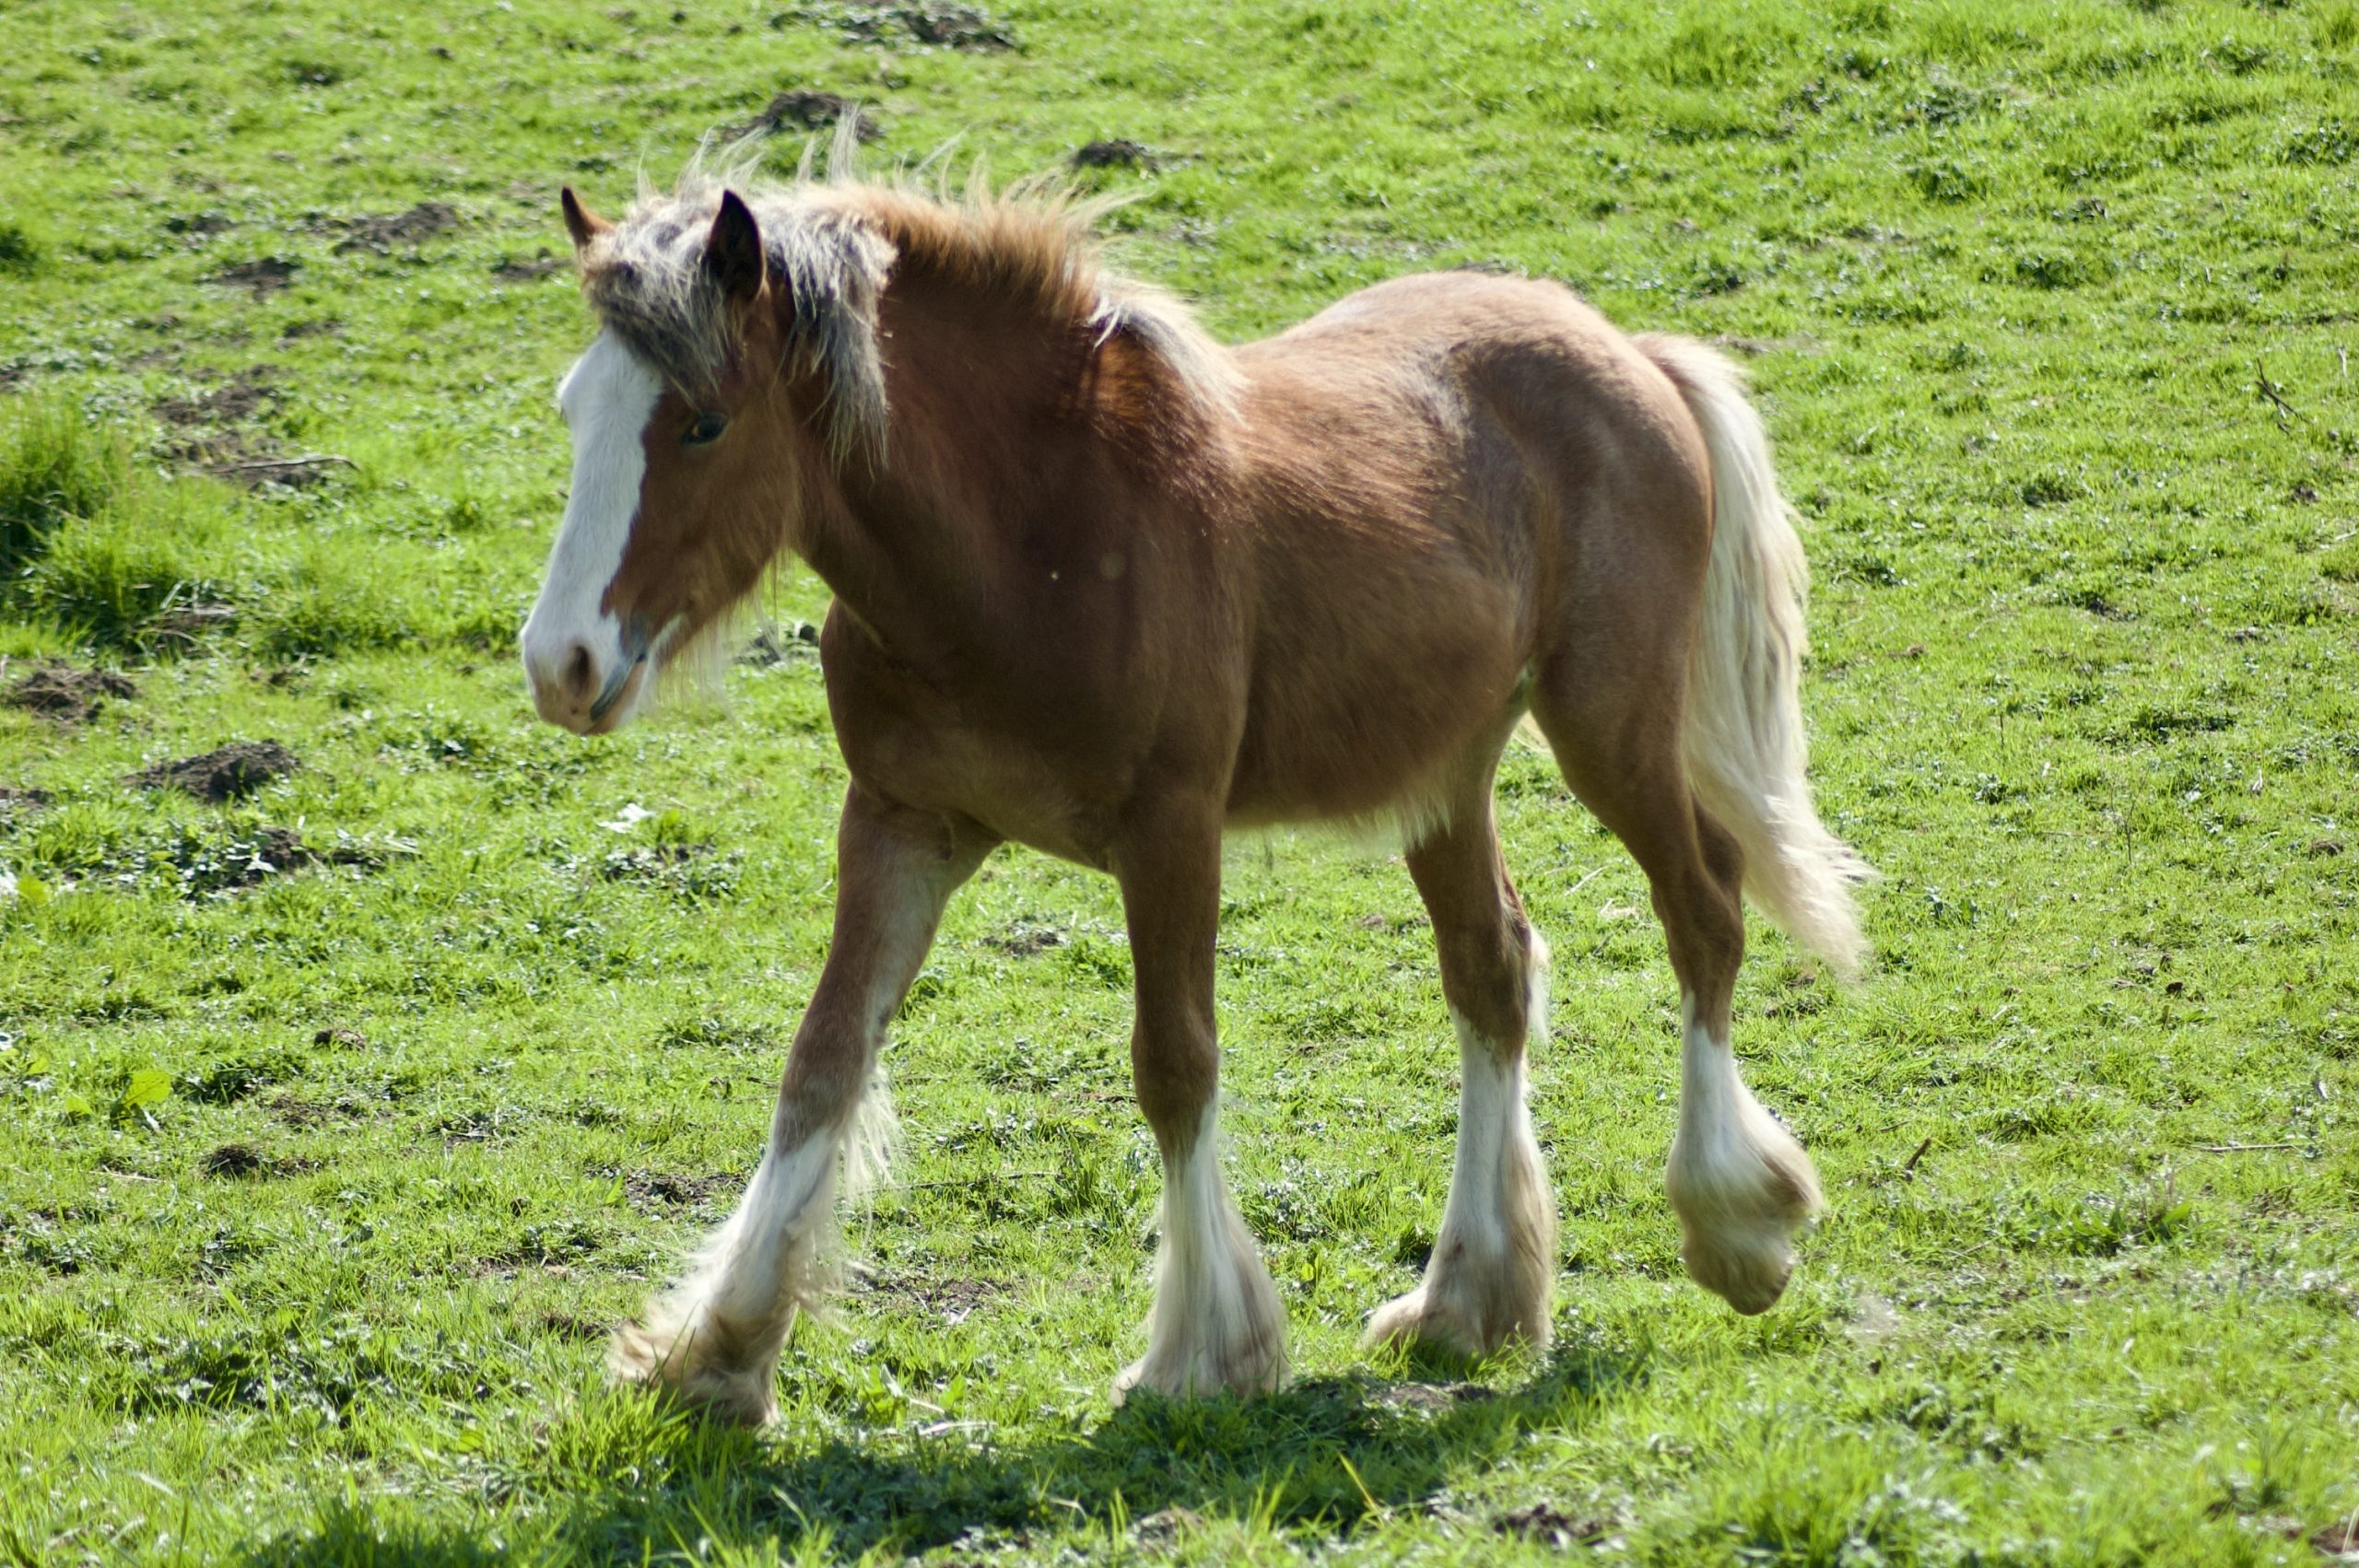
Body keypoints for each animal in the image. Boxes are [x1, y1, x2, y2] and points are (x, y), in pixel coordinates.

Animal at [518, 158, 1869, 1427]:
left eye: (703, 424)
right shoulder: (902, 824)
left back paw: (1736, 1224)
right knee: (1494, 969)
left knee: (1705, 910)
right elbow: (823, 1059)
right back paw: (1465, 1299)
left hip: (1608, 723)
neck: (1031, 536)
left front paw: (1202, 1352)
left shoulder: (1169, 832)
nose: (561, 662)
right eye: (575, 406)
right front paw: (720, 1349)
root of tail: (1631, 353)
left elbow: (1174, 1061)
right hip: (1443, 772)